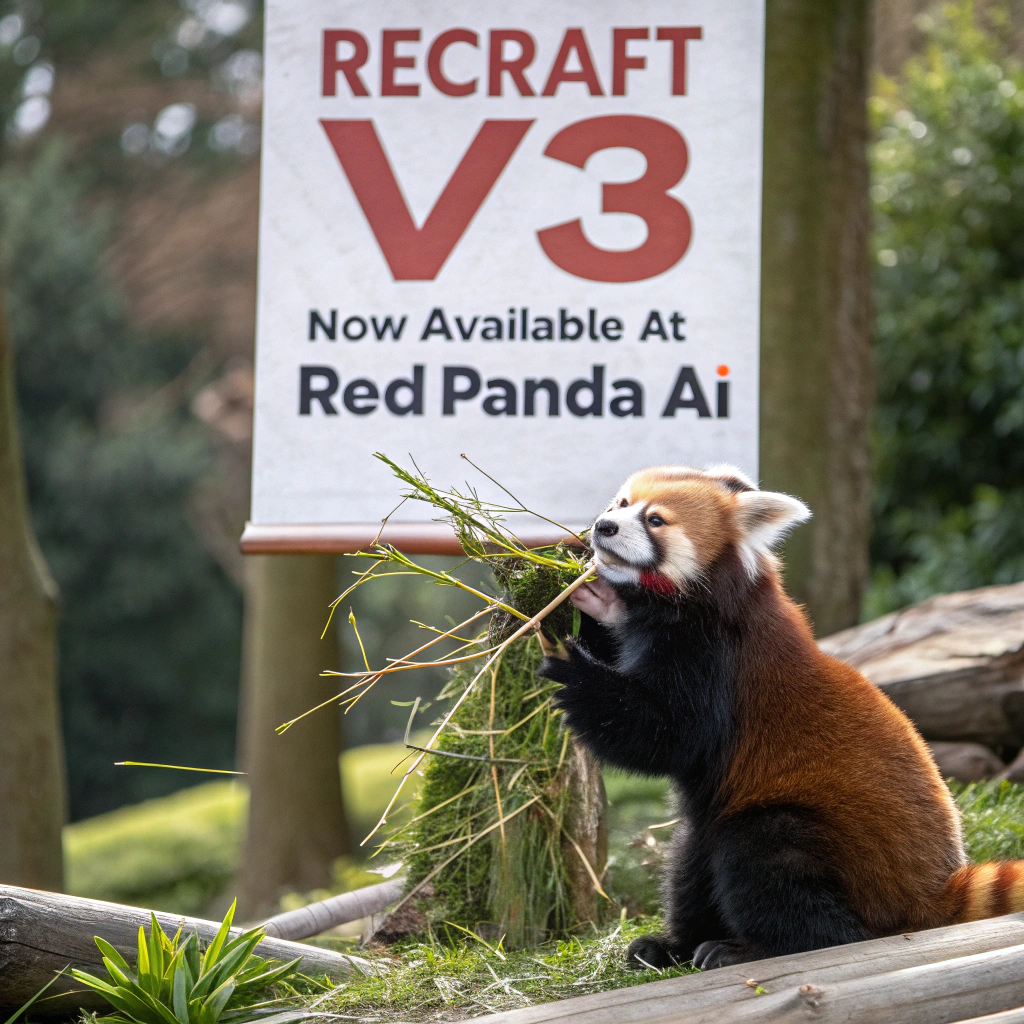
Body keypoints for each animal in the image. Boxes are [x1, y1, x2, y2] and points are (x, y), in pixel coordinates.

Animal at [538, 464, 1023, 971]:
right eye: (621, 504)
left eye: (655, 520)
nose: (603, 527)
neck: (691, 602)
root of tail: (928, 893)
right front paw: (585, 594)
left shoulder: (716, 658)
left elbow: (665, 735)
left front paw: (571, 668)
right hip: (712, 822)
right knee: (692, 858)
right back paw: (673, 945)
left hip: (821, 843)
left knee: (767, 861)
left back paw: (751, 948)